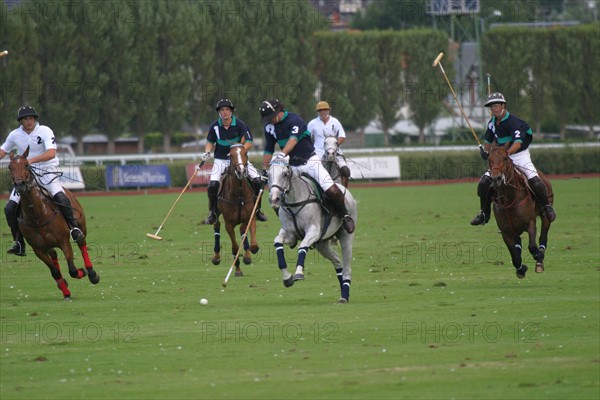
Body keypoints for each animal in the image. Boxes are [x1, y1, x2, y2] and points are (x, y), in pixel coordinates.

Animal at [8, 148, 99, 298]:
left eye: (26, 165)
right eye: (10, 167)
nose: (20, 185)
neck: (37, 215)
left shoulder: (64, 242)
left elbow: (72, 269)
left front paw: (83, 272)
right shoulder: (38, 249)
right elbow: (55, 272)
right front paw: (65, 291)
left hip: (80, 226)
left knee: (81, 243)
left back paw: (92, 273)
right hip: (48, 245)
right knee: (54, 256)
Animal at [210, 145, 258, 278]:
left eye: (245, 153)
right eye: (230, 155)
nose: (241, 171)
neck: (239, 194)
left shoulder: (250, 216)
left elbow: (252, 242)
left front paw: (249, 253)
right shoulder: (229, 224)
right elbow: (235, 248)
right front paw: (237, 269)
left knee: (242, 230)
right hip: (217, 212)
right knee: (216, 225)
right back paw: (216, 257)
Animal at [268, 159, 356, 304]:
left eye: (285, 174)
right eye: (268, 175)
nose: (274, 199)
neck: (294, 202)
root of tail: (343, 189)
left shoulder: (313, 231)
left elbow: (303, 246)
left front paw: (298, 273)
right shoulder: (290, 234)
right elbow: (277, 242)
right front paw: (287, 278)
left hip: (346, 238)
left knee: (347, 268)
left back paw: (344, 296)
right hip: (322, 244)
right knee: (337, 262)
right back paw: (344, 293)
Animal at [488, 146, 552, 278]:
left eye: (505, 158)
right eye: (489, 159)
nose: (496, 178)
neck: (509, 200)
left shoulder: (530, 223)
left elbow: (532, 246)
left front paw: (539, 256)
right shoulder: (505, 231)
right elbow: (514, 254)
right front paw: (521, 269)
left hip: (545, 215)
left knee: (543, 234)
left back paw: (540, 261)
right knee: (518, 244)